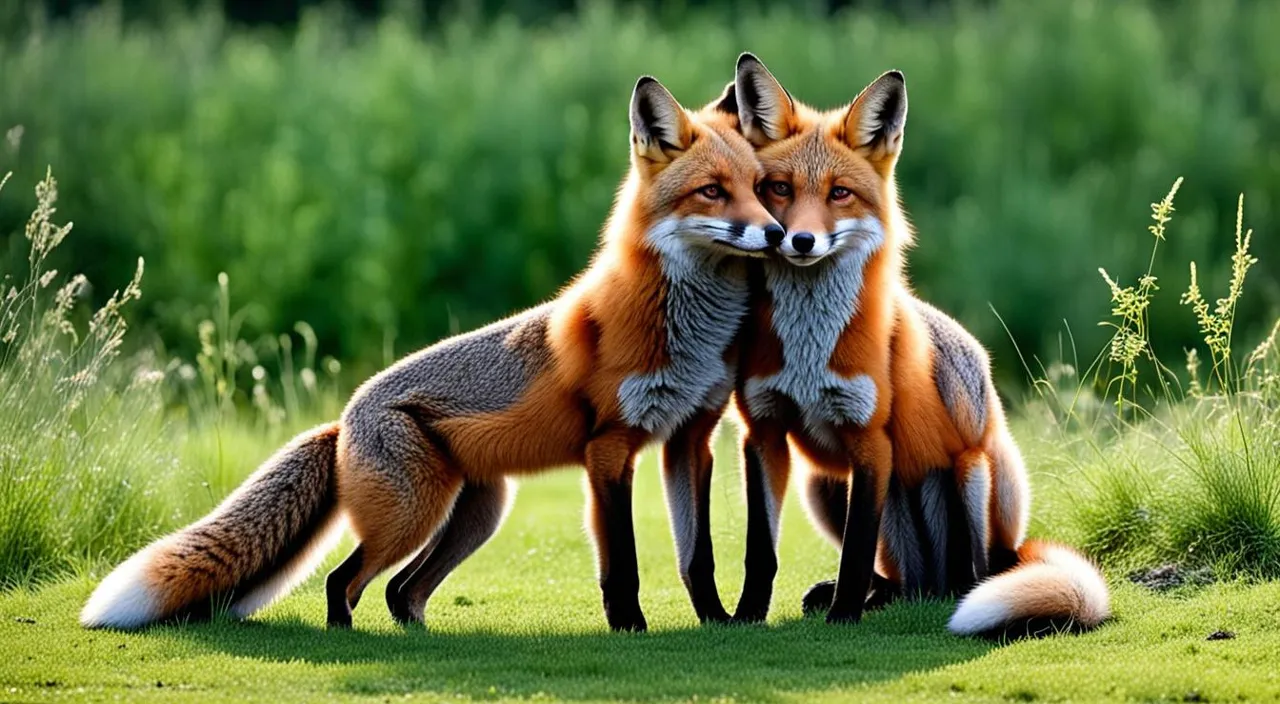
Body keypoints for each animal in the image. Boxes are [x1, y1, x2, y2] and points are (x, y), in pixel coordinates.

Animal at [82, 75, 778, 634]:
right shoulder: (608, 449)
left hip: (477, 515)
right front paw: (629, 628)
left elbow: (697, 557)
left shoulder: (689, 437)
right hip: (411, 516)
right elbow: (624, 564)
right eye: (712, 192)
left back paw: (417, 633)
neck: (683, 332)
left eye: (761, 187)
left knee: (399, 590)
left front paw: (716, 622)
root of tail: (342, 417)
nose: (775, 234)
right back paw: (347, 638)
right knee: (345, 580)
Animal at [701, 55, 1111, 637]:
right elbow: (762, 549)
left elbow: (854, 553)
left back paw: (954, 596)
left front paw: (843, 616)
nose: (798, 240)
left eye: (839, 193)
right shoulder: (763, 431)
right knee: (901, 580)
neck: (809, 350)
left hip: (973, 472)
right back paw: (886, 596)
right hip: (823, 485)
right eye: (778, 188)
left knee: (975, 572)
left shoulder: (871, 439)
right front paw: (746, 617)